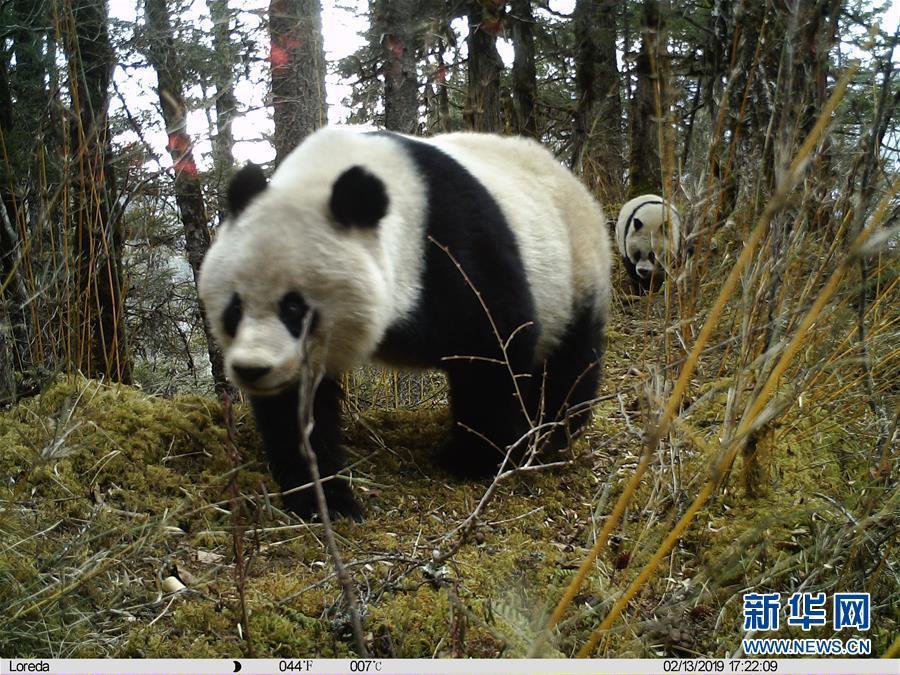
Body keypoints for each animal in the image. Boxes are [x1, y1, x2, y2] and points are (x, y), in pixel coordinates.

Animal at [197, 129, 612, 520]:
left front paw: (471, 459)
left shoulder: (455, 244)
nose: (252, 369)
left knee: (571, 360)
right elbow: (298, 410)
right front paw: (323, 498)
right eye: (235, 307)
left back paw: (555, 429)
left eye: (294, 308)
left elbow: (495, 346)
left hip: (573, 267)